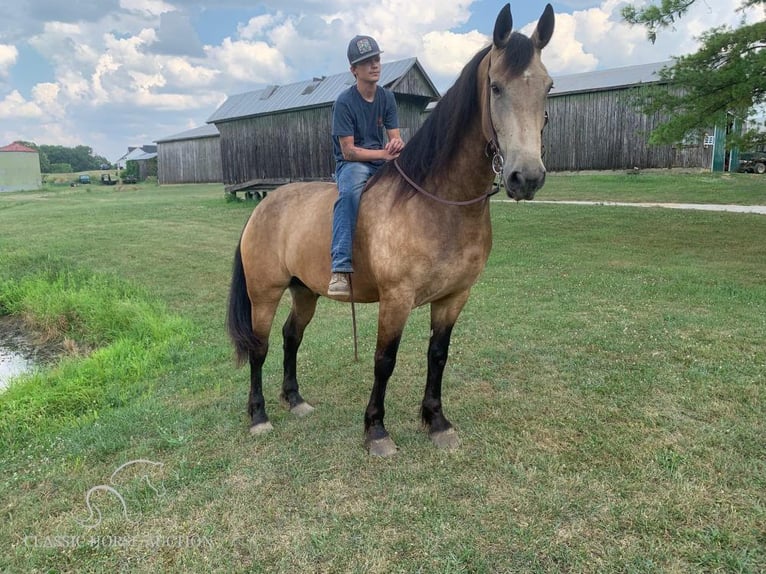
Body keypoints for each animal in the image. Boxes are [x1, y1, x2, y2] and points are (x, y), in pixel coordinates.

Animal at [228, 2, 560, 456]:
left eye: (547, 87)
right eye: (495, 87)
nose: (526, 178)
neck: (437, 204)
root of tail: (263, 207)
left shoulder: (454, 297)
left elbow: (438, 355)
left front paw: (436, 421)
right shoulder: (396, 299)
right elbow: (384, 360)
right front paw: (376, 430)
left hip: (305, 291)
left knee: (290, 336)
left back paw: (295, 400)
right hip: (265, 294)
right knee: (259, 347)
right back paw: (259, 416)